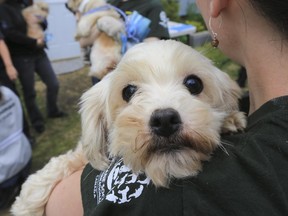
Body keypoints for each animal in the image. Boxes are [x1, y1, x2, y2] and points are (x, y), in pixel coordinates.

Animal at [10, 40, 245, 214]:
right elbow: (57, 167)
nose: (165, 120)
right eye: (128, 91)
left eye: (193, 83)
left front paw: (231, 119)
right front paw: (26, 204)